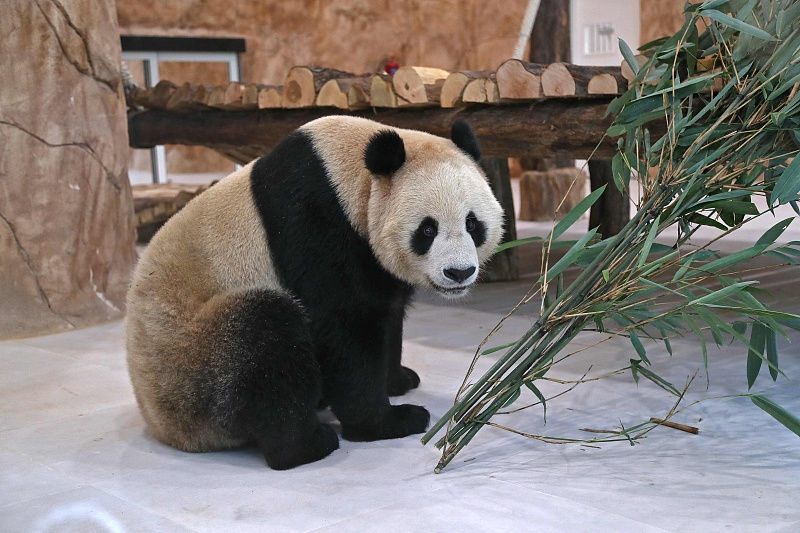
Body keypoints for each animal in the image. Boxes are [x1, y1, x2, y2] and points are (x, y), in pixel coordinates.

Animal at [126, 115, 504, 470]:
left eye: (472, 223)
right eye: (427, 230)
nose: (459, 272)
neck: (350, 178)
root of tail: (160, 424)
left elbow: (386, 312)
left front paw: (397, 379)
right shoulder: (314, 222)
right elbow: (344, 327)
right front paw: (388, 421)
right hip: (192, 359)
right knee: (263, 342)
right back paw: (307, 445)